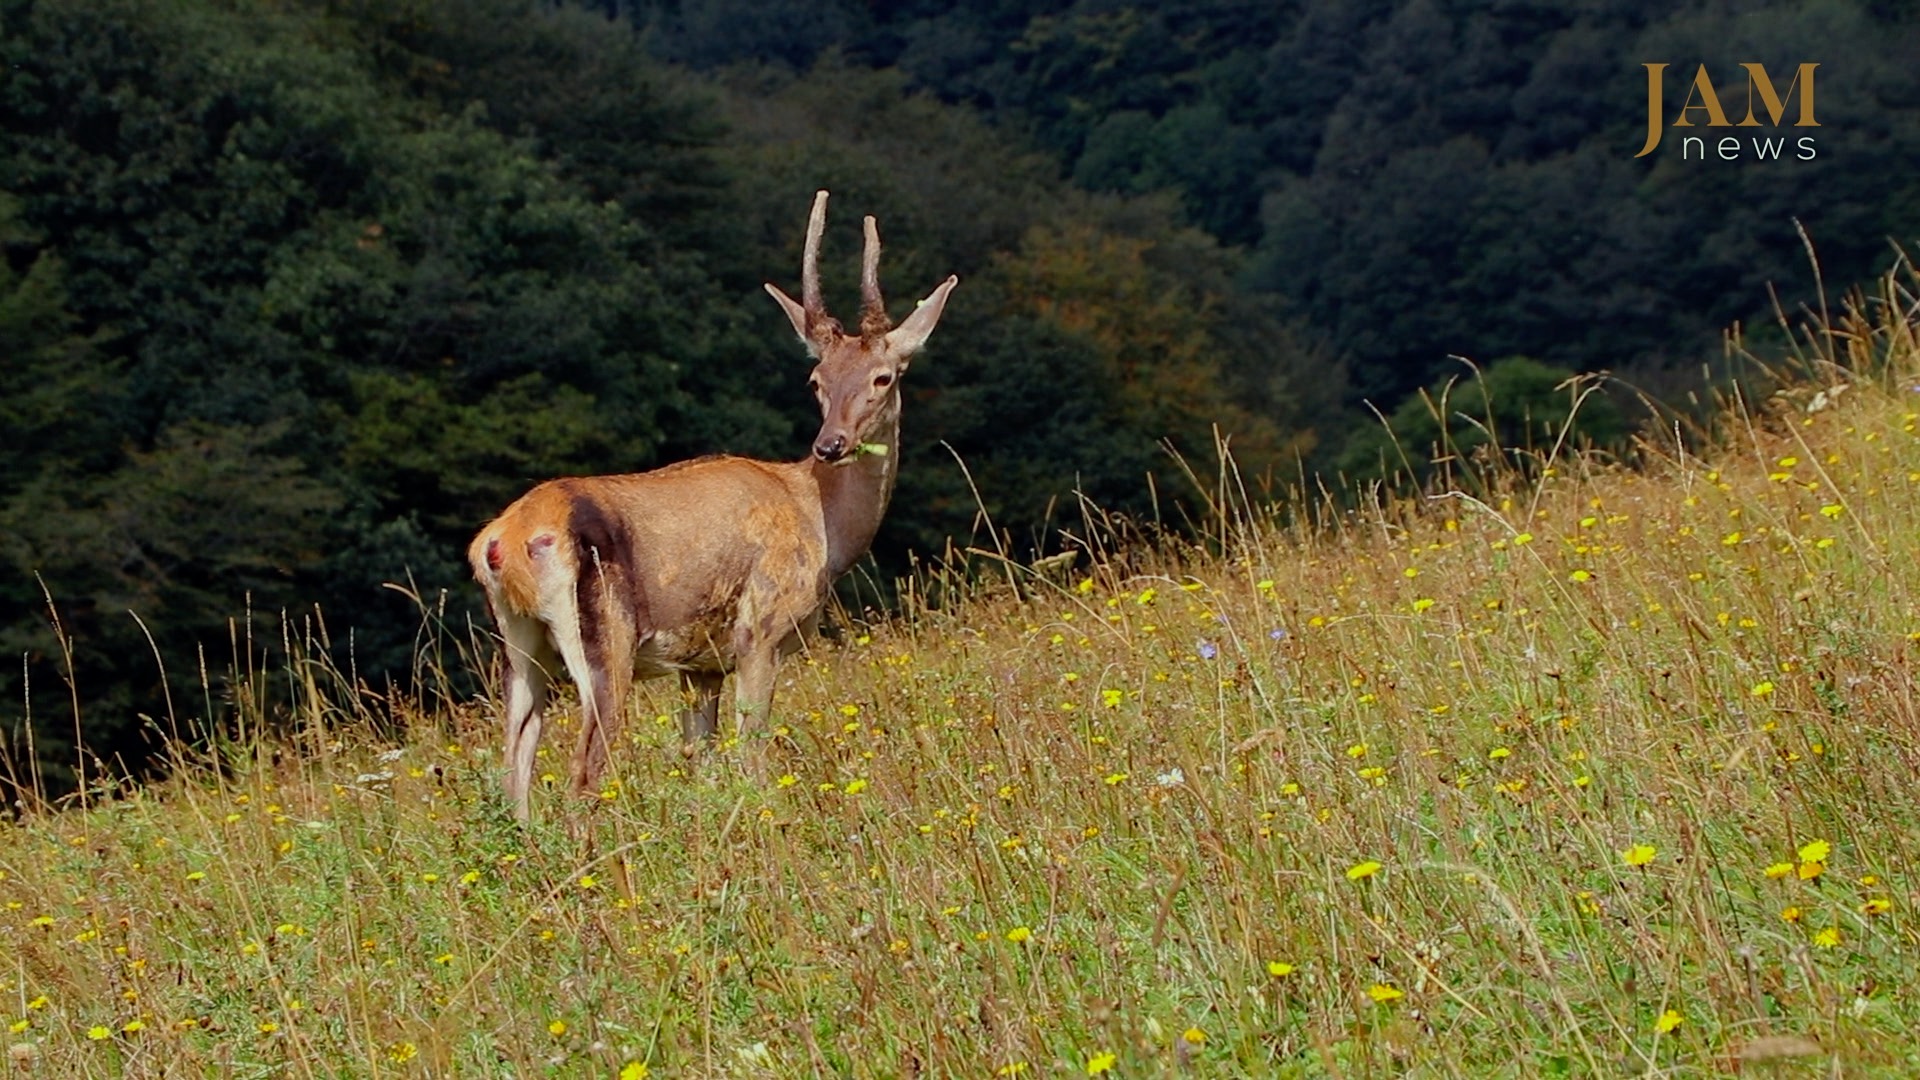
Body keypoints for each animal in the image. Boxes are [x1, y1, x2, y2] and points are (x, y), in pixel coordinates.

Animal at [468, 190, 958, 819]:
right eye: (816, 378)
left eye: (882, 377)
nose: (830, 445)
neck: (820, 525)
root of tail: (502, 542)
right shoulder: (761, 632)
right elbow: (751, 758)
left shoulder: (700, 666)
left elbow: (700, 764)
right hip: (604, 639)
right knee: (582, 776)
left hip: (519, 645)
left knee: (514, 772)